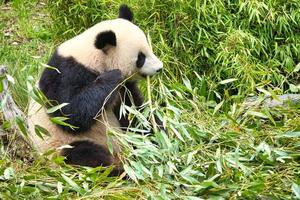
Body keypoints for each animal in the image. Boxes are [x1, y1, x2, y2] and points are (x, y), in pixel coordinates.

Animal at [27, 5, 164, 175]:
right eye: (141, 57)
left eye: (149, 49)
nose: (159, 68)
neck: (94, 57)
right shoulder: (65, 73)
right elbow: (69, 113)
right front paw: (113, 75)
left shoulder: (123, 90)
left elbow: (136, 114)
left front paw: (160, 138)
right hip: (60, 147)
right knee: (84, 157)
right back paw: (119, 172)